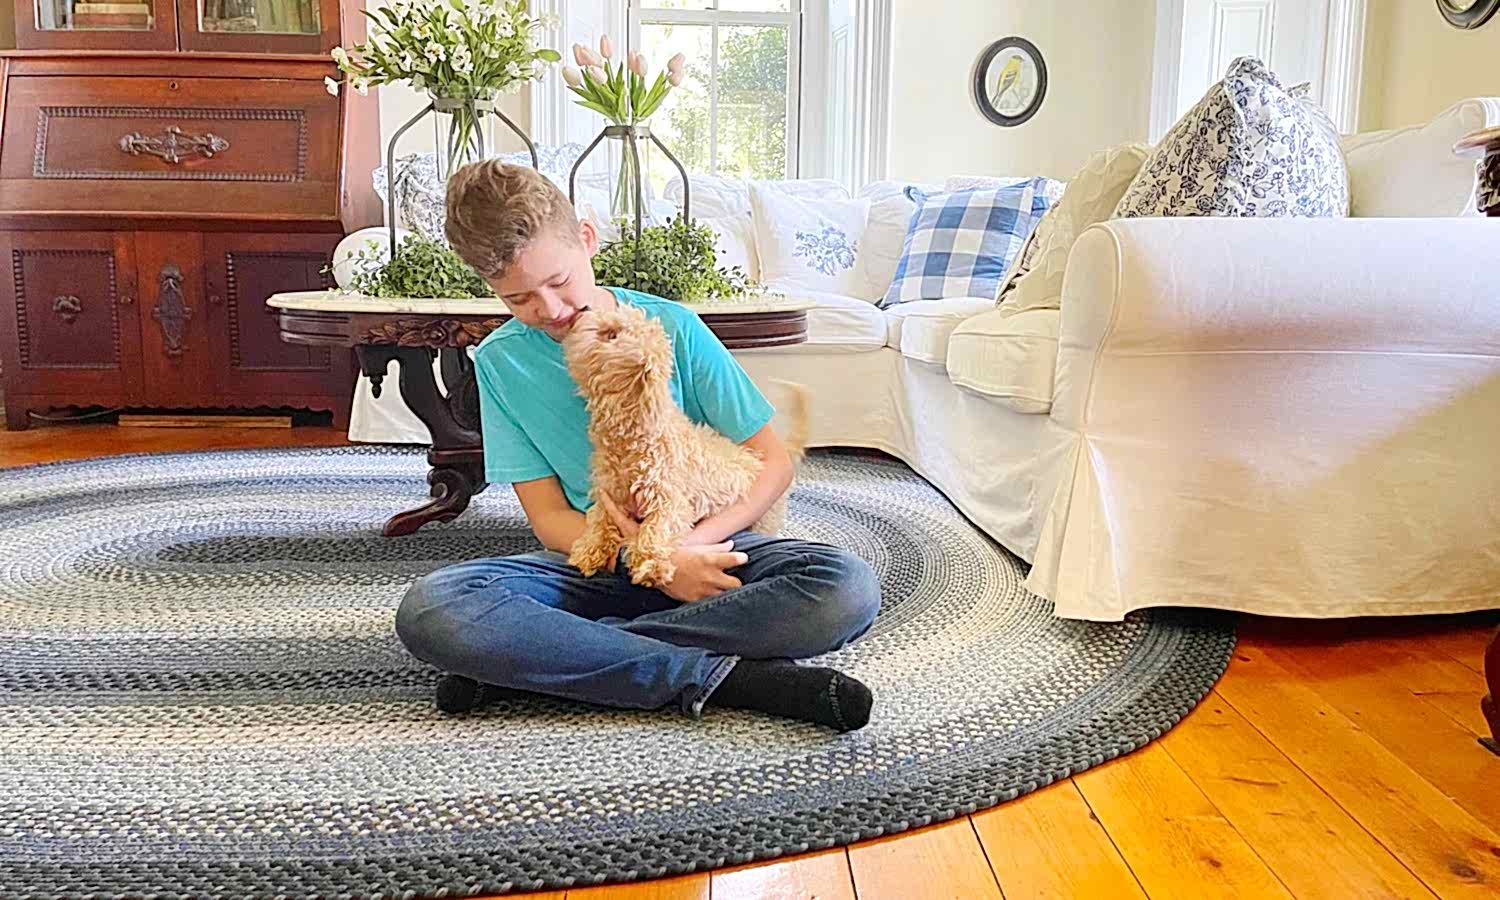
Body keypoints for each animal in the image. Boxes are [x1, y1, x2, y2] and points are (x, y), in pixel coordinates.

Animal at [561, 304, 804, 591]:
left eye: (611, 334)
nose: (585, 308)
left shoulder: (669, 498)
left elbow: (657, 528)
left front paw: (651, 564)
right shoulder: (610, 493)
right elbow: (598, 519)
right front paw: (588, 551)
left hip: (762, 519)